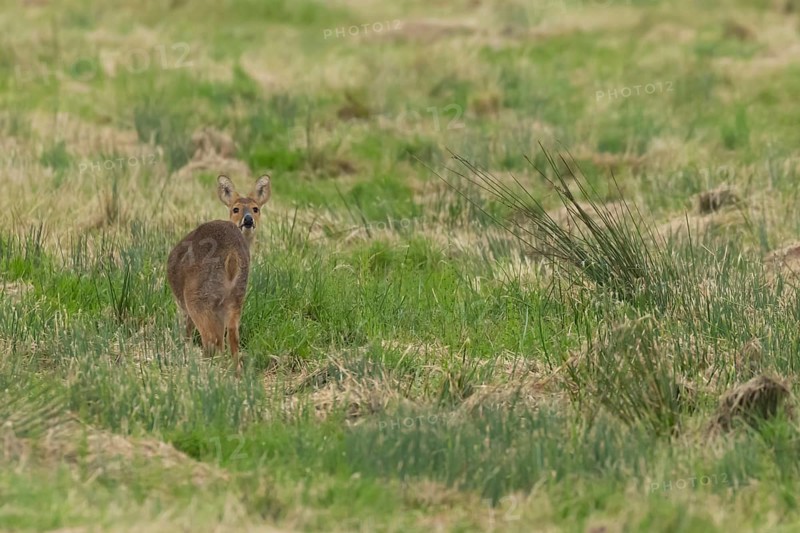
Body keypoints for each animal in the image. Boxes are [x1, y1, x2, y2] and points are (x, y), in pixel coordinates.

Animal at [167, 174, 271, 373]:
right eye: (235, 208)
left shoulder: (183, 306)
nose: (248, 219)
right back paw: (235, 372)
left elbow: (187, 333)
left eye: (256, 208)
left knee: (211, 339)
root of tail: (232, 255)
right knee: (232, 337)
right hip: (237, 296)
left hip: (199, 297)